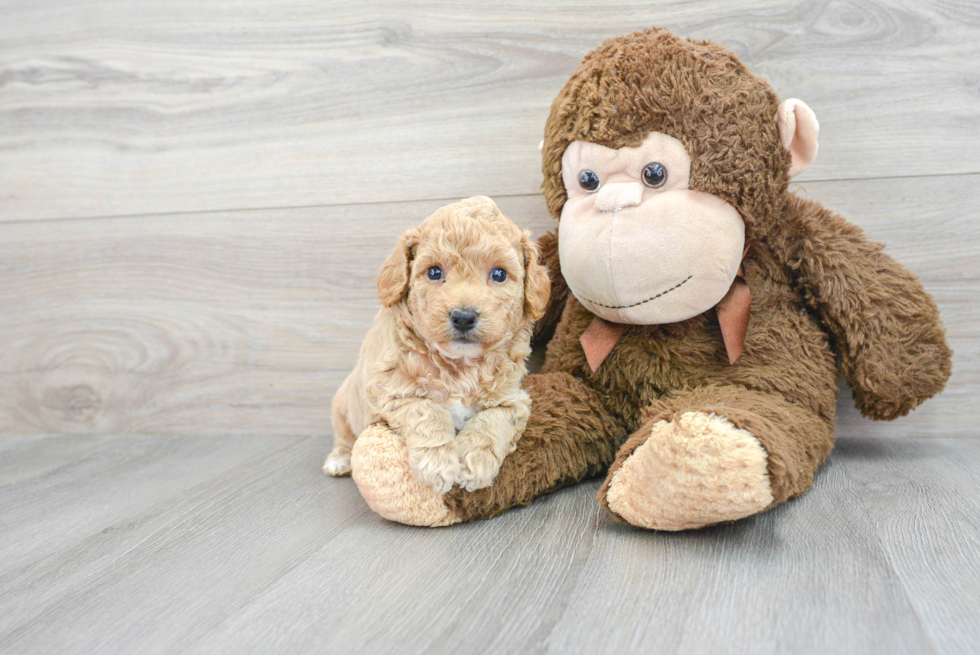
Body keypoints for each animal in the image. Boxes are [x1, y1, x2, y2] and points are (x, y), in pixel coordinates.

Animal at [324, 197, 548, 500]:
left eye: (499, 274)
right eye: (434, 272)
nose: (463, 317)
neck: (461, 365)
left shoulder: (513, 399)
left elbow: (491, 421)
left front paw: (475, 463)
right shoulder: (392, 392)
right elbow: (427, 411)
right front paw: (438, 465)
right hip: (343, 407)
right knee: (344, 437)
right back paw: (339, 460)